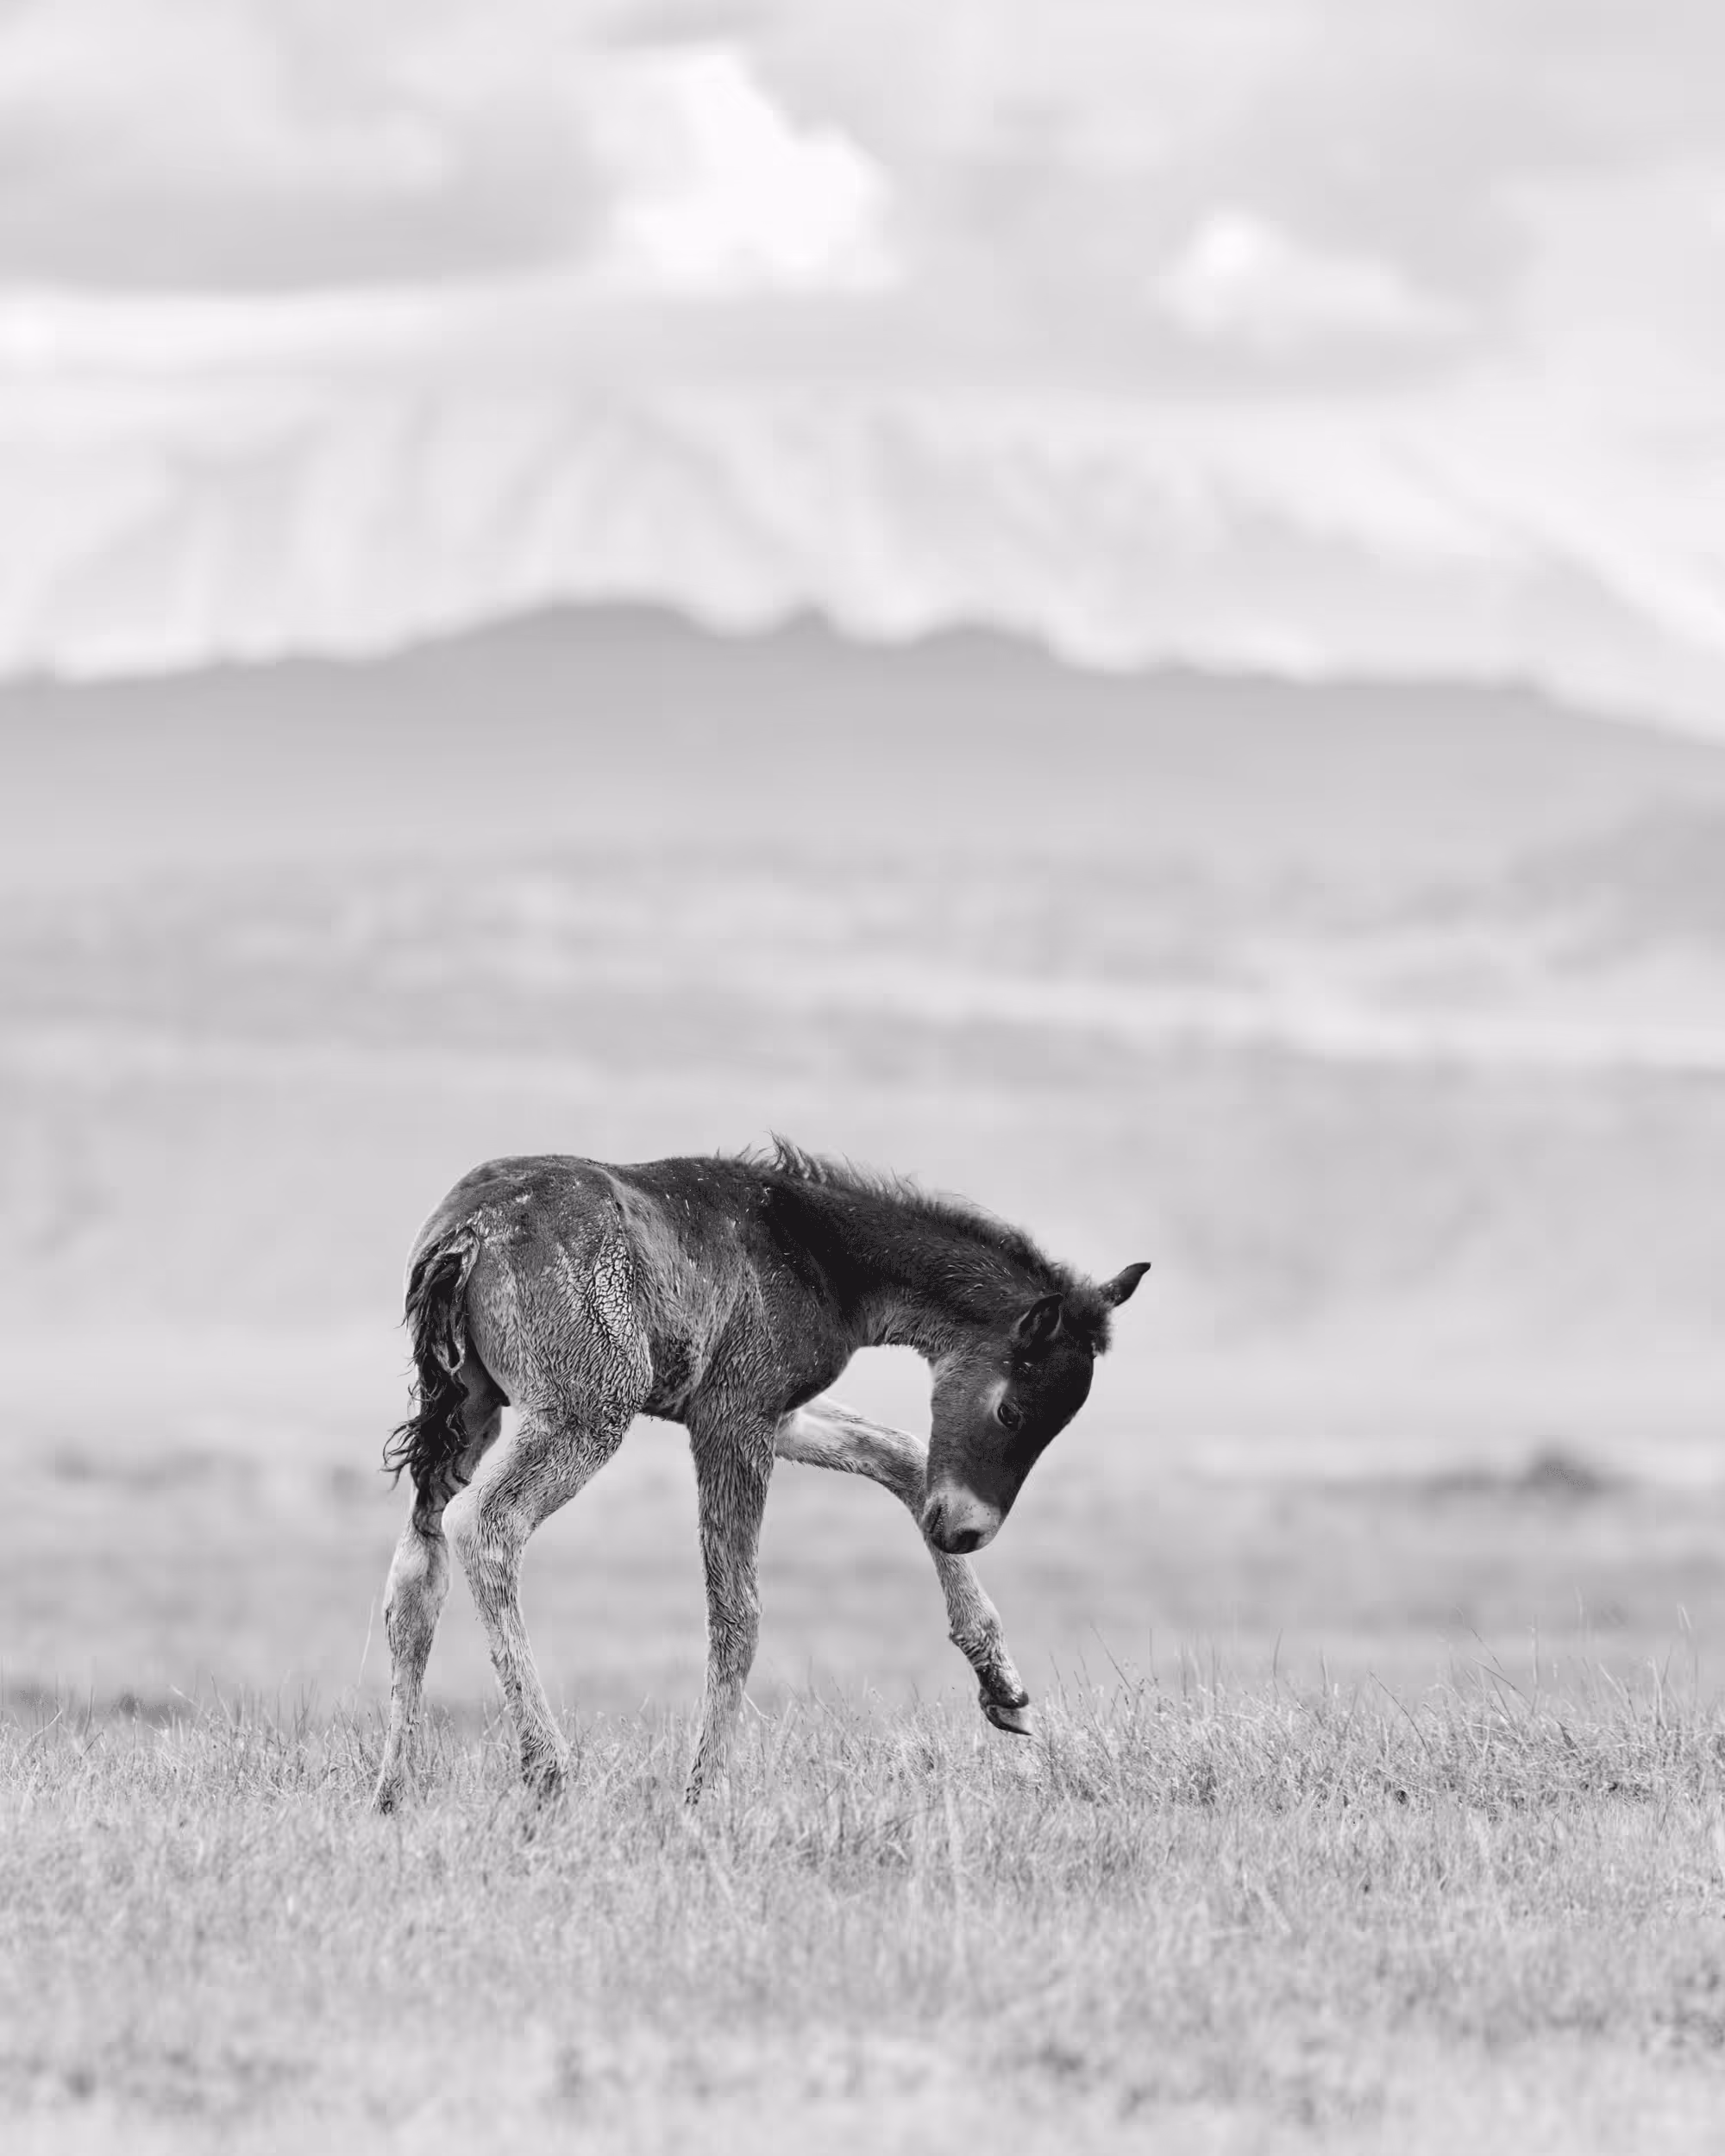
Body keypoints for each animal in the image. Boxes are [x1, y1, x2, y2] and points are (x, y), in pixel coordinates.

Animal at [370, 1139, 1148, 1811]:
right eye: (1012, 1411)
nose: (965, 1529)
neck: (821, 1253)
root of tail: (467, 1232)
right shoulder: (734, 1414)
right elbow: (736, 1610)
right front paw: (703, 1792)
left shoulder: (783, 1414)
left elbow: (900, 1455)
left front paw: (1001, 1684)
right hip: (585, 1413)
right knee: (488, 1524)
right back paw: (548, 1769)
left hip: (467, 1408)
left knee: (416, 1565)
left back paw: (393, 1792)